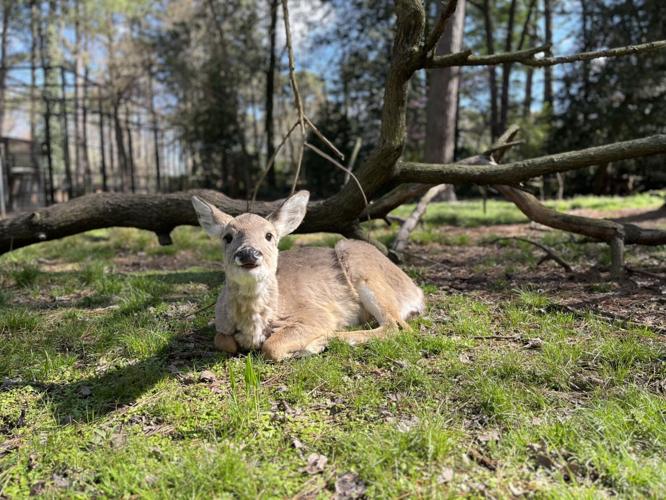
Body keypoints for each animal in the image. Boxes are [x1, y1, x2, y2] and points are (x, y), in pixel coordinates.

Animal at [191, 190, 424, 361]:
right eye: (227, 237)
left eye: (269, 235)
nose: (248, 253)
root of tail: (416, 291)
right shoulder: (221, 326)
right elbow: (224, 342)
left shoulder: (317, 314)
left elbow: (271, 347)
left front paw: (312, 345)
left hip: (365, 271)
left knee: (396, 326)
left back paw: (325, 340)